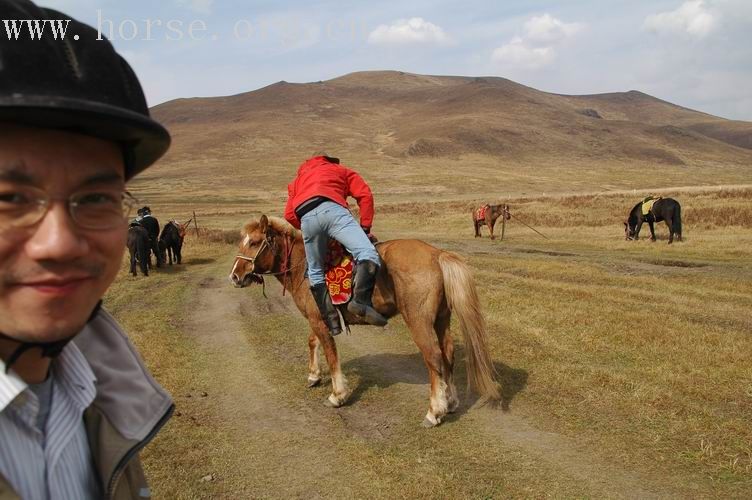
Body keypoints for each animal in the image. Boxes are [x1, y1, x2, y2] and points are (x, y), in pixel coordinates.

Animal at [229, 215, 500, 426]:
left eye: (254, 242)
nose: (235, 276)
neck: (303, 267)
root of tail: (437, 254)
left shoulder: (319, 319)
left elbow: (331, 354)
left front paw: (337, 395)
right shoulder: (320, 317)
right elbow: (312, 342)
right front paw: (314, 376)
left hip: (419, 321)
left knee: (433, 357)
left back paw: (434, 412)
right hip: (442, 319)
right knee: (448, 353)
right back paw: (451, 401)